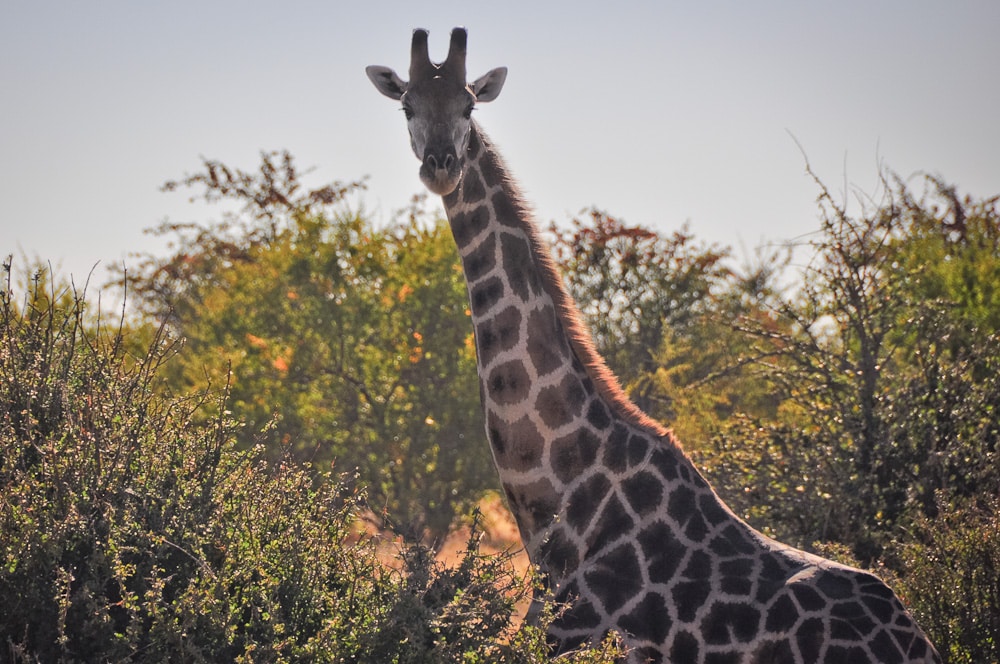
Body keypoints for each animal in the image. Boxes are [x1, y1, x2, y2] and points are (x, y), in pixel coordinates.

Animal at [366, 28, 942, 664]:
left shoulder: (573, 639)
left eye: (469, 107)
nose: (441, 166)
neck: (562, 517)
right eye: (407, 106)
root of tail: (917, 642)